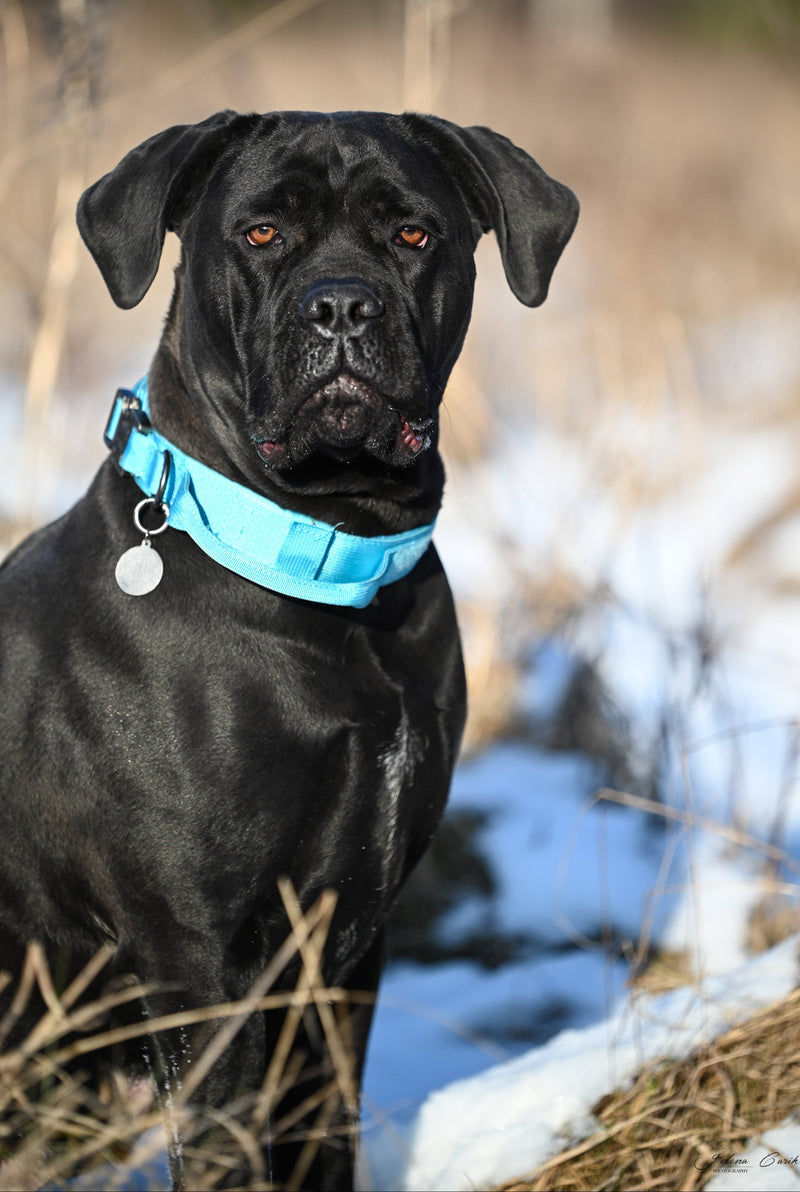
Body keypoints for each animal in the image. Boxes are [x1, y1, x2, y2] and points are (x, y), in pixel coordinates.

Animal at [0, 109, 579, 1182]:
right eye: (262, 233)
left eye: (413, 233)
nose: (342, 306)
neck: (333, 571)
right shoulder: (201, 961)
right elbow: (228, 1155)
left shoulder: (341, 957)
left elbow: (322, 1137)